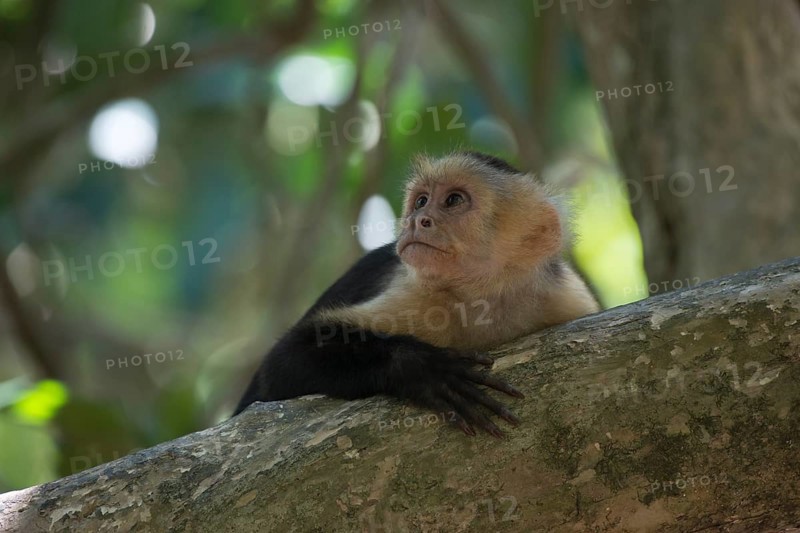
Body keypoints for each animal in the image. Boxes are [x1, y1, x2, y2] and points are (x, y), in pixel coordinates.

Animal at [233, 151, 600, 437]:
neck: (486, 297)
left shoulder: (565, 297)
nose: (418, 220)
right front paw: (421, 368)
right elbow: (280, 366)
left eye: (454, 200)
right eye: (421, 201)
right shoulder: (415, 294)